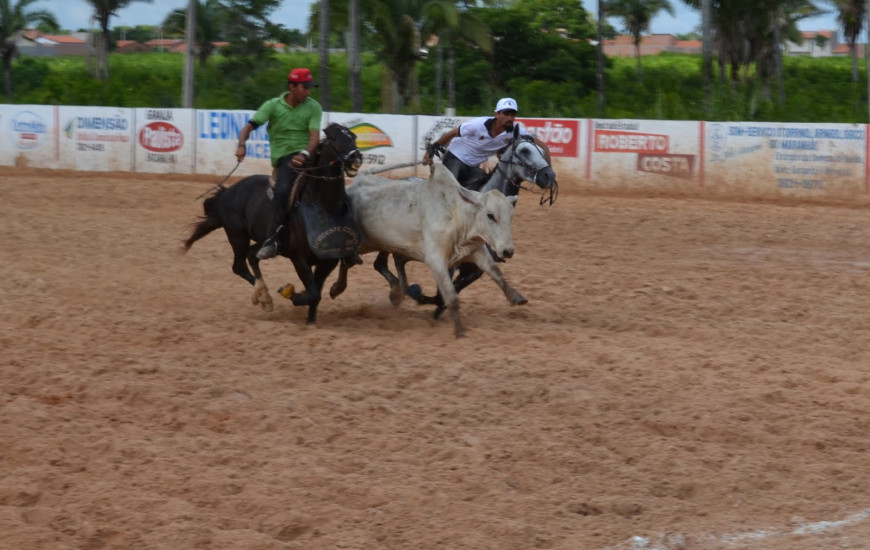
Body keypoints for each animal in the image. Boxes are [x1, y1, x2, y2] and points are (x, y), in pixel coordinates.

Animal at [182, 123, 362, 326]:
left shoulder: (329, 260)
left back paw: (264, 294)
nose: (356, 158)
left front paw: (310, 320)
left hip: (262, 241)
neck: (323, 205)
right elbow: (312, 294)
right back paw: (265, 298)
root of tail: (227, 193)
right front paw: (291, 294)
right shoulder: (299, 260)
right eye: (333, 138)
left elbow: (316, 294)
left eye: (353, 137)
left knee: (252, 255)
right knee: (239, 265)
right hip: (237, 236)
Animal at [332, 162, 524, 338]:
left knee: (359, 263)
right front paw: (459, 329)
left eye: (511, 216)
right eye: (490, 215)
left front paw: (515, 297)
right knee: (348, 260)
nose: (508, 251)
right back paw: (339, 288)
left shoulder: (476, 251)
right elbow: (450, 295)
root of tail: (357, 182)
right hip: (361, 243)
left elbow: (495, 272)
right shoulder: (437, 260)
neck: (456, 215)